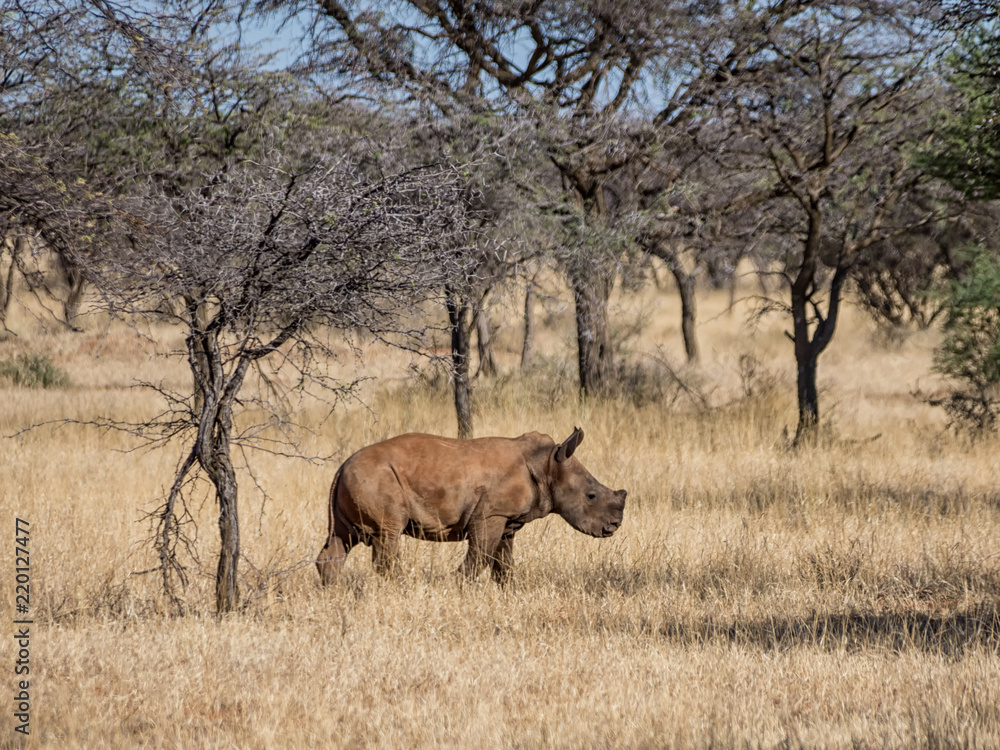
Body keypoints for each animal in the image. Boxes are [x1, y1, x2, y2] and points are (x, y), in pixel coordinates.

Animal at [316, 427, 626, 585]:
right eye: (591, 496)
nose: (614, 526)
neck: (547, 464)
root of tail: (341, 468)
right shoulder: (491, 515)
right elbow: (479, 558)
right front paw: (458, 587)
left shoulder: (507, 520)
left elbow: (504, 564)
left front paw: (507, 592)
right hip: (377, 479)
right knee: (387, 536)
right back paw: (399, 589)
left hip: (357, 480)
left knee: (342, 538)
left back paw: (332, 592)